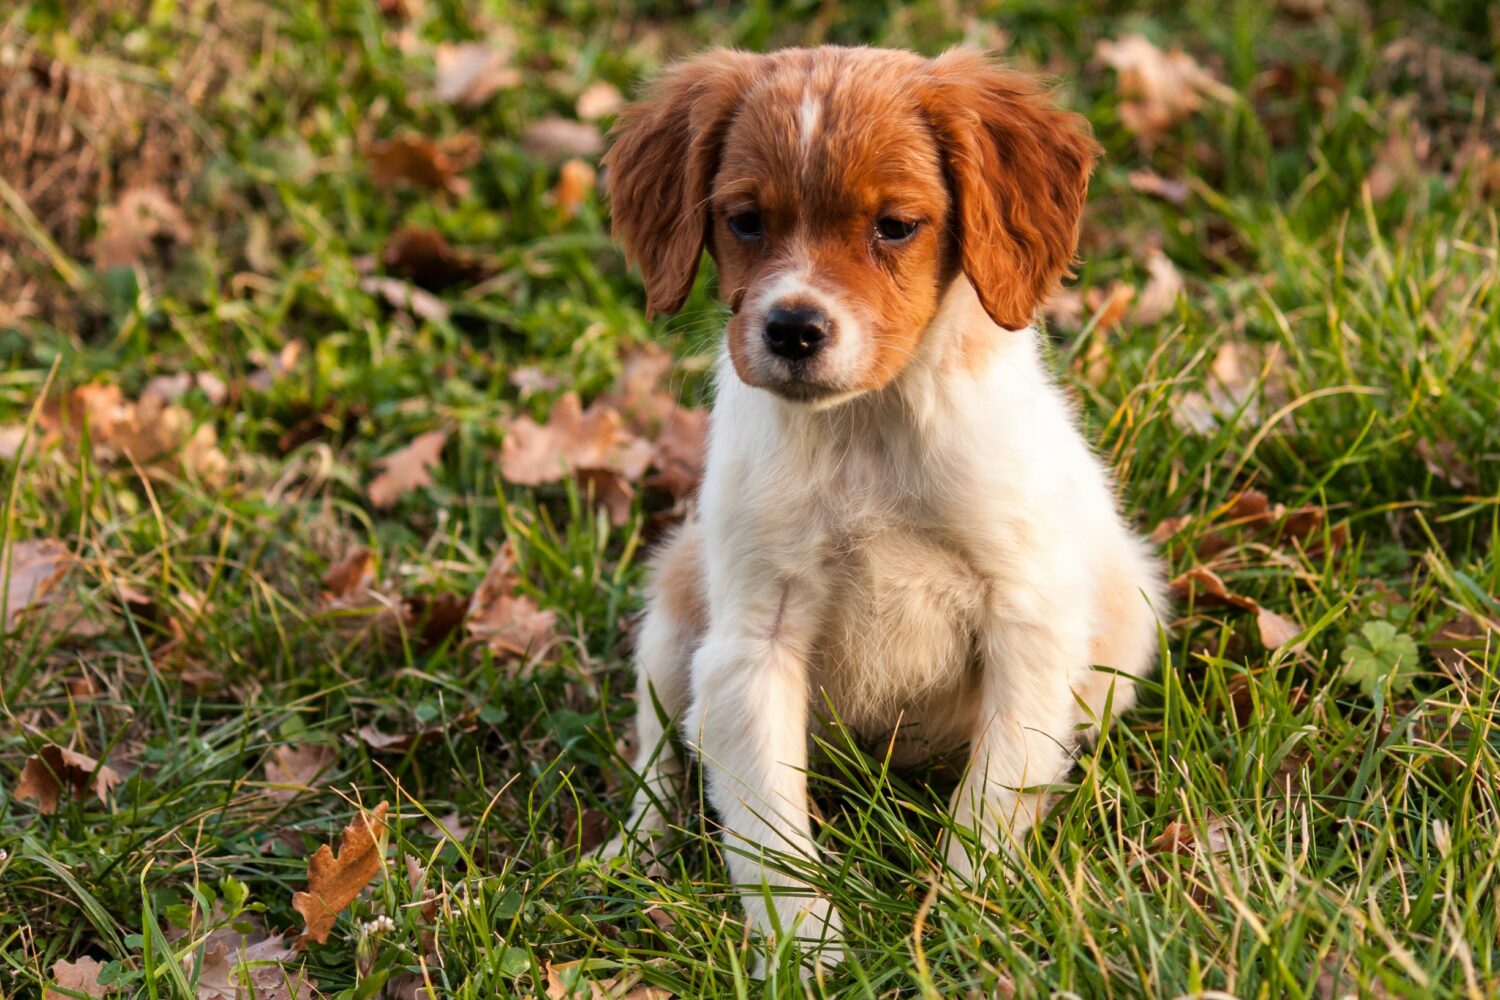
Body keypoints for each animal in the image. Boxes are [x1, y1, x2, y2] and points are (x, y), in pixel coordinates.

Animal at [603, 46, 1164, 971]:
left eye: (896, 225)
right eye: (744, 221)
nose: (794, 328)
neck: (866, 426)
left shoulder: (1027, 619)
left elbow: (993, 794)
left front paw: (967, 919)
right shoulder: (752, 641)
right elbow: (768, 825)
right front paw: (803, 947)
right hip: (676, 612)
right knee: (658, 752)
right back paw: (633, 850)